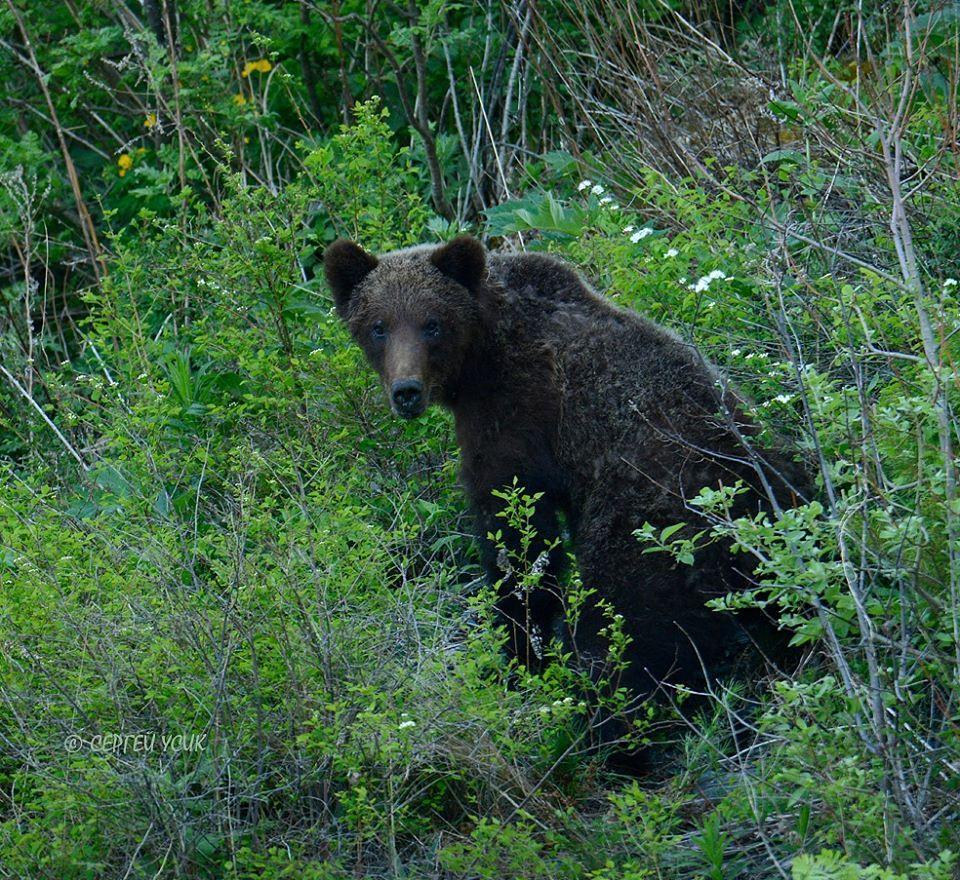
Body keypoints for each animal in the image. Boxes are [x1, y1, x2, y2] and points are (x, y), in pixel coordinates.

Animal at [324, 235, 808, 720]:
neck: (481, 358)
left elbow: (518, 537)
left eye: (432, 323)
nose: (406, 392)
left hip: (655, 531)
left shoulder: (518, 417)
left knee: (627, 632)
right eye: (379, 326)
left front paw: (518, 655)